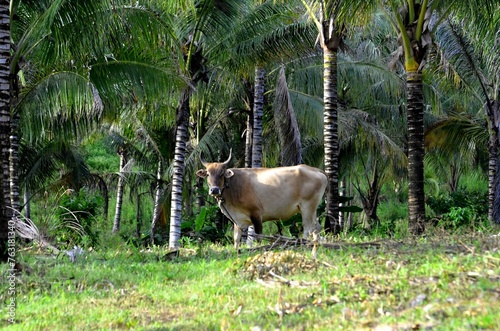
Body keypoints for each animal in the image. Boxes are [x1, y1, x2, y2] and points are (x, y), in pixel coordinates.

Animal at [195, 150, 328, 249]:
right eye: (208, 174)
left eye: (222, 173)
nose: (214, 190)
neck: (233, 185)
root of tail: (316, 170)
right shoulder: (237, 221)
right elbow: (236, 239)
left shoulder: (256, 214)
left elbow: (258, 236)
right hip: (312, 210)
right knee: (317, 229)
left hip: (307, 208)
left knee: (308, 230)